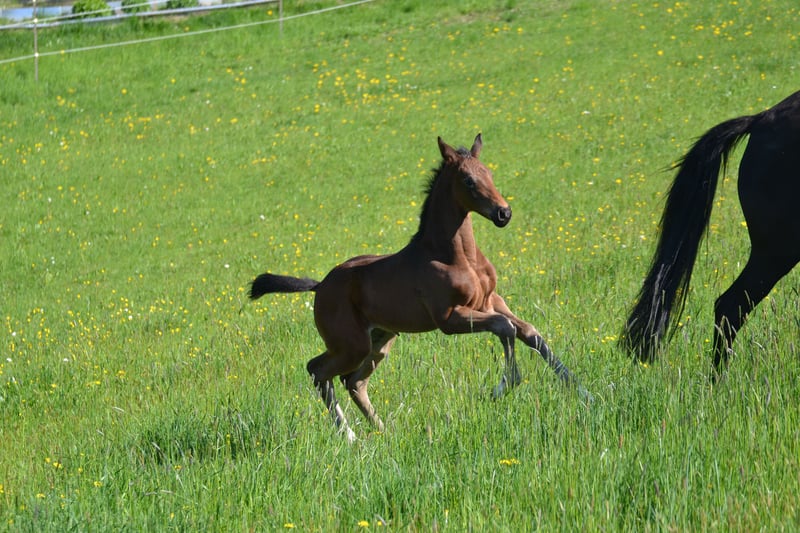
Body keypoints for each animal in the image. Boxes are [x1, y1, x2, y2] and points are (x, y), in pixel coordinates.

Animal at [249, 134, 586, 442]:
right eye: (468, 180)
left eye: (489, 173)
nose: (504, 213)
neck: (455, 255)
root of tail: (319, 286)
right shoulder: (450, 318)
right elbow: (505, 328)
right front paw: (503, 386)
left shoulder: (491, 301)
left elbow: (528, 331)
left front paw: (581, 390)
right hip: (351, 345)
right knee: (319, 371)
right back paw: (350, 436)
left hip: (378, 341)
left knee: (353, 381)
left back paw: (383, 430)